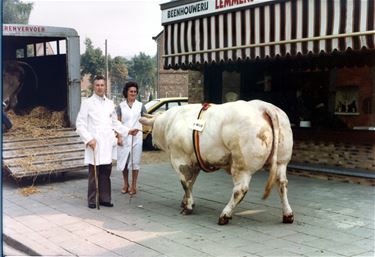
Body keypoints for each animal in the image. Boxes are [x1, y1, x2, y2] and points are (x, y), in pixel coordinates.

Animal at [140, 100, 296, 224]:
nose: (151, 142)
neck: (169, 122)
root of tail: (263, 106)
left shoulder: (180, 160)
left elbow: (185, 183)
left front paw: (188, 207)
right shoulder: (194, 163)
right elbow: (191, 183)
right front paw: (186, 202)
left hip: (242, 164)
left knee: (240, 189)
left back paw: (225, 215)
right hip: (282, 161)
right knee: (282, 184)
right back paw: (288, 215)